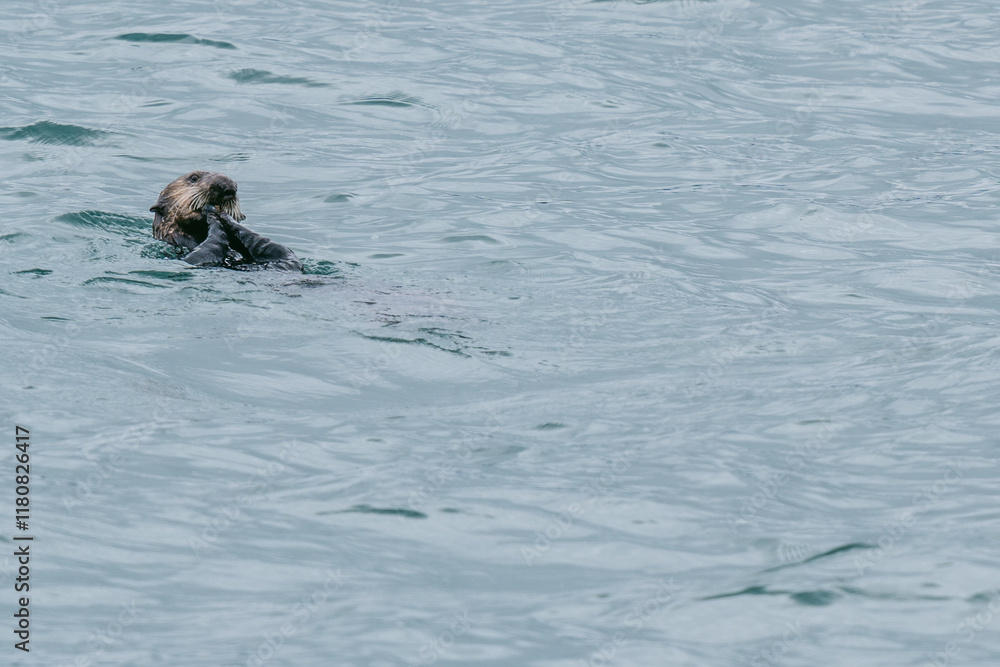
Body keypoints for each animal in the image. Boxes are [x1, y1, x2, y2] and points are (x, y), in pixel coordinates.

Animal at [150, 171, 302, 271]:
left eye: (236, 186)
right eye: (194, 178)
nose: (227, 186)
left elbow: (287, 256)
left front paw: (227, 217)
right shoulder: (191, 258)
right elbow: (200, 255)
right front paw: (213, 214)